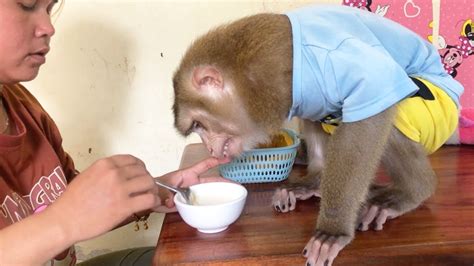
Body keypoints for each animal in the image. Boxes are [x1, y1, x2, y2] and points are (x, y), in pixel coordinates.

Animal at [170, 4, 462, 266]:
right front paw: (313, 181)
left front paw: (333, 229)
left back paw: (413, 190)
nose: (209, 148)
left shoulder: (327, 61)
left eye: (198, 124)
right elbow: (316, 112)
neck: (255, 80)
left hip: (436, 113)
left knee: (385, 109)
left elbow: (372, 102)